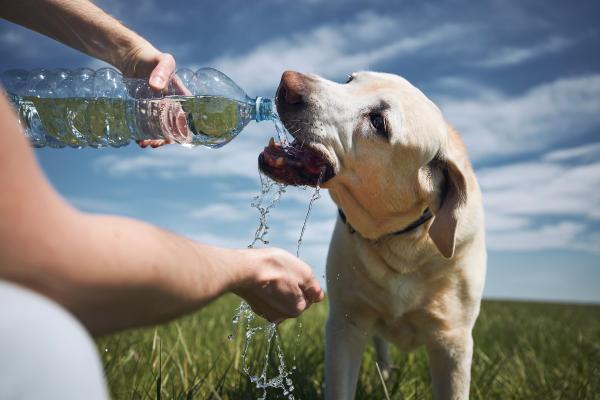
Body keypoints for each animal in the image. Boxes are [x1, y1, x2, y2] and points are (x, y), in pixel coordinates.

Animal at [260, 70, 486, 398]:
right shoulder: (345, 325)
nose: (286, 82)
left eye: (378, 122)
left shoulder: (453, 342)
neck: (403, 244)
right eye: (349, 79)